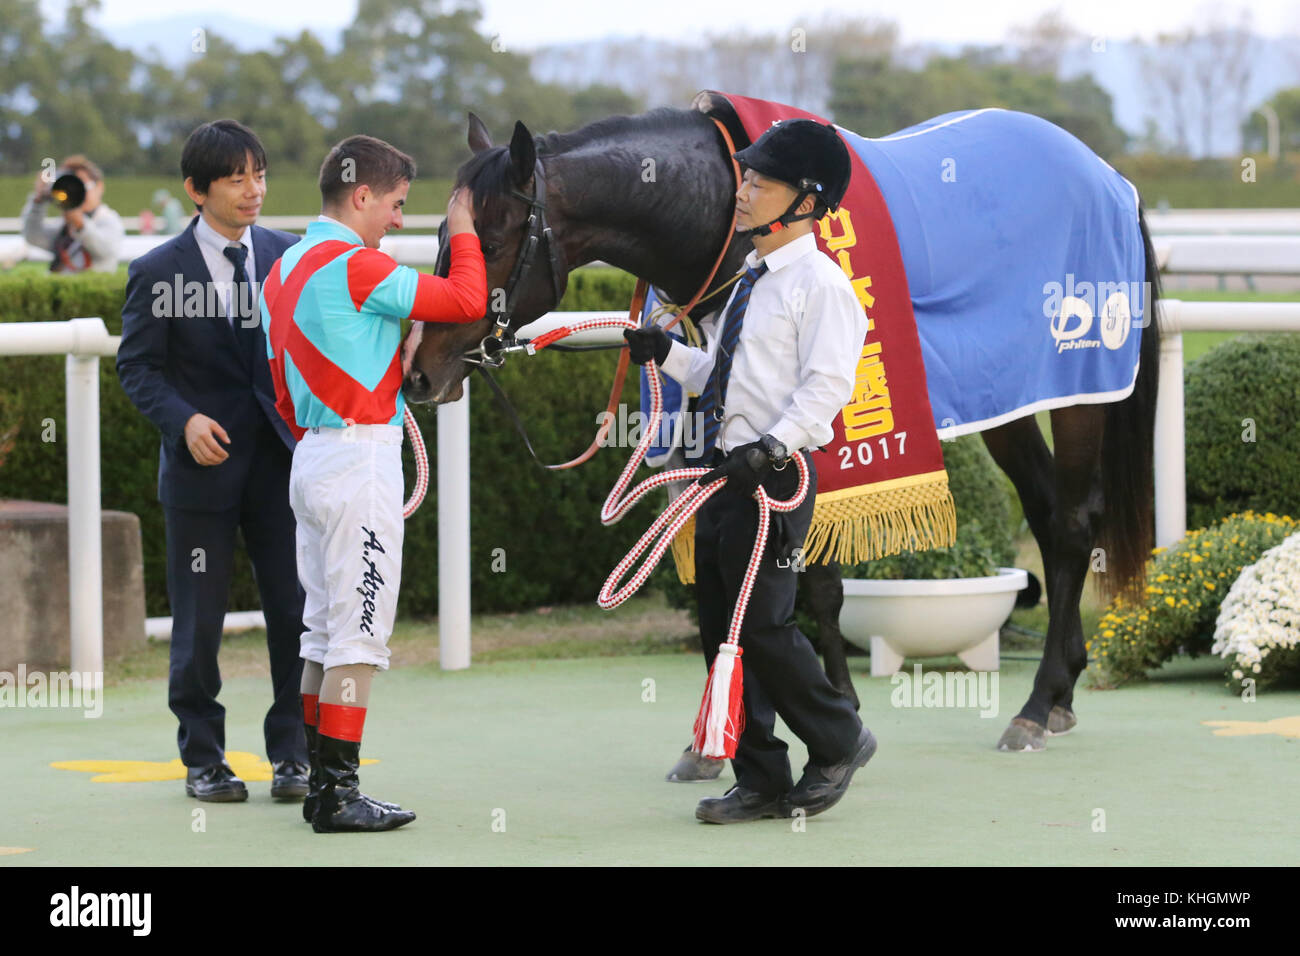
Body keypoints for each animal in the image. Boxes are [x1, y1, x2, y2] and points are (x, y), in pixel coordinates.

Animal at [400, 102, 1164, 754]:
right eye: (439, 235)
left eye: (490, 239)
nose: (420, 374)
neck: (725, 217)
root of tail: (1112, 179)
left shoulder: (821, 428)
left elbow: (803, 573)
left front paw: (834, 709)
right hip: (1008, 397)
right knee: (1046, 514)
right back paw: (1063, 691)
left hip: (1080, 384)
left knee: (1073, 525)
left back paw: (1036, 705)